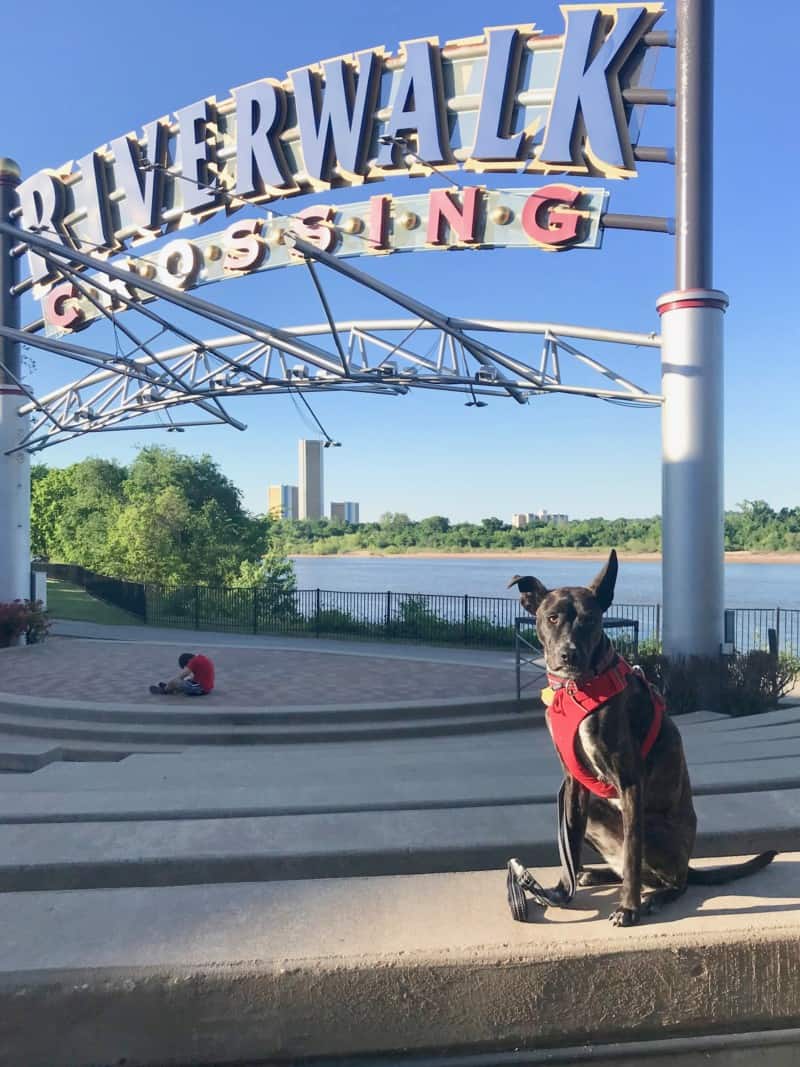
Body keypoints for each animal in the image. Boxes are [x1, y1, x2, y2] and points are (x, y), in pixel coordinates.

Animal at [509, 550, 780, 926]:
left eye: (591, 620)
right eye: (551, 618)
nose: (569, 653)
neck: (578, 688)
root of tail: (687, 863)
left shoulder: (630, 781)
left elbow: (632, 853)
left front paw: (629, 908)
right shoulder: (574, 786)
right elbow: (570, 845)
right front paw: (563, 891)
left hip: (653, 829)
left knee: (665, 877)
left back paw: (653, 896)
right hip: (595, 808)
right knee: (624, 866)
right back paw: (596, 874)